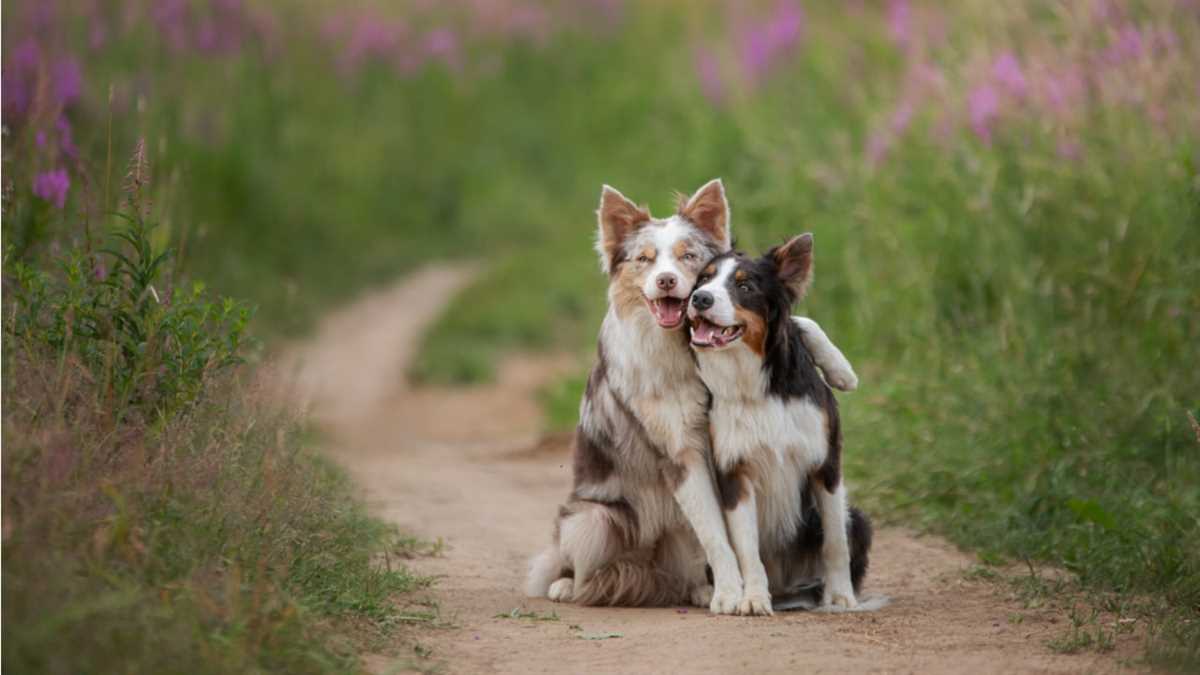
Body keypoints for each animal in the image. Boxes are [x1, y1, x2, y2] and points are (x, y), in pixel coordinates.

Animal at [523, 181, 854, 612]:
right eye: (645, 259)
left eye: (689, 257)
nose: (666, 281)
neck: (682, 351)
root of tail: (650, 572)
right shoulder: (683, 454)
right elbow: (717, 534)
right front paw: (731, 593)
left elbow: (801, 321)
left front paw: (839, 368)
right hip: (593, 520)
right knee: (574, 561)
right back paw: (566, 584)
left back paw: (699, 589)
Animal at [686, 233, 873, 614]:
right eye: (703, 280)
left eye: (745, 286)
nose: (700, 299)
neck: (754, 387)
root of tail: (786, 585)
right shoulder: (735, 473)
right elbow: (746, 550)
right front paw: (754, 599)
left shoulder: (825, 464)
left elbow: (835, 541)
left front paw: (840, 595)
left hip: (859, 519)